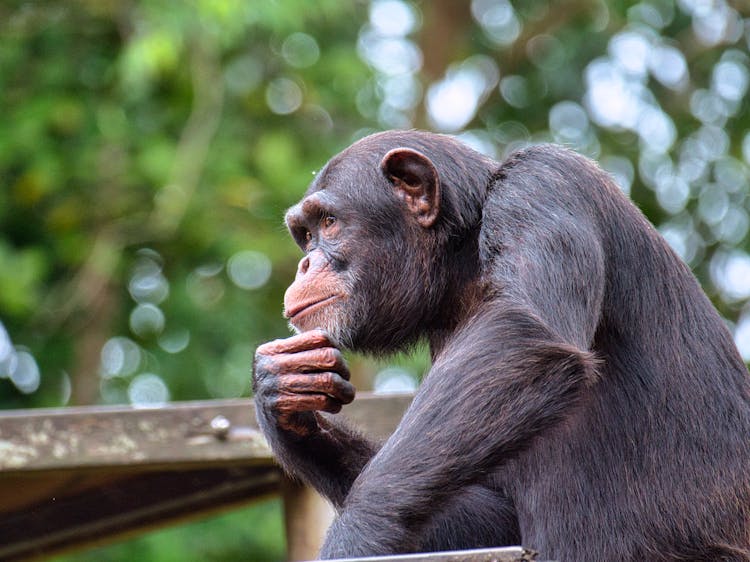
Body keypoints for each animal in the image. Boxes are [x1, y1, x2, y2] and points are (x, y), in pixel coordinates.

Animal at [253, 129, 750, 556]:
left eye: (330, 222)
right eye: (305, 235)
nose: (305, 264)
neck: (464, 254)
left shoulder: (544, 185)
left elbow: (524, 333)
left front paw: (358, 530)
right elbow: (493, 521)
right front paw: (281, 395)